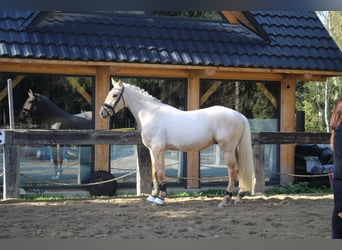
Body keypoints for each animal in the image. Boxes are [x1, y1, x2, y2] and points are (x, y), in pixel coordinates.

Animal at [99, 78, 254, 207]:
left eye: (114, 95)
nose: (102, 113)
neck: (151, 113)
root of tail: (239, 115)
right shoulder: (151, 150)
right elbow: (154, 173)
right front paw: (152, 196)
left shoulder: (158, 149)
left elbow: (161, 173)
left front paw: (160, 199)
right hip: (235, 149)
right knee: (240, 170)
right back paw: (238, 197)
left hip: (227, 149)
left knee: (233, 171)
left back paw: (225, 200)